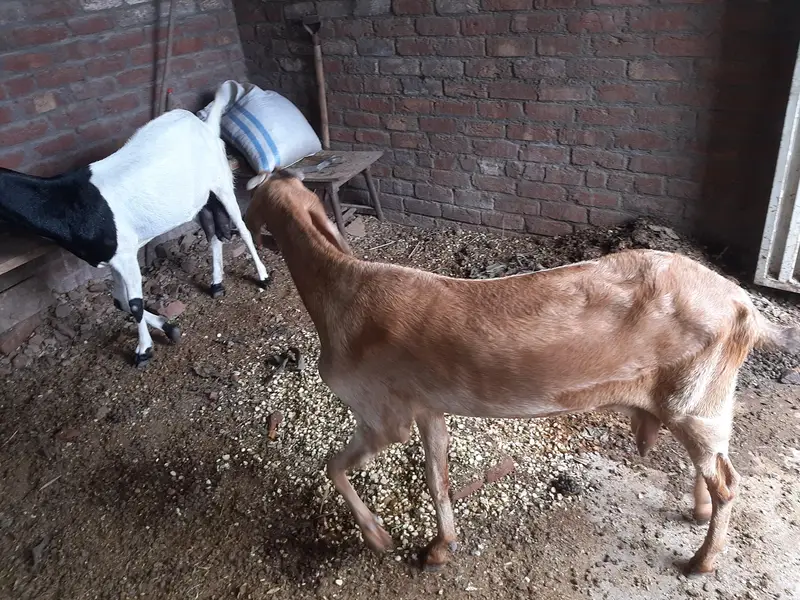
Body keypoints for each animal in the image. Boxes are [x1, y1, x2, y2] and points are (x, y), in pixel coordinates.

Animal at [0, 82, 269, 367]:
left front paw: (144, 350)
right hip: (198, 199)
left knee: (242, 229)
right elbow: (120, 302)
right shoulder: (113, 259)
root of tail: (205, 125)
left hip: (221, 181)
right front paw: (168, 327)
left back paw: (262, 276)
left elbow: (135, 304)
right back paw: (217, 283)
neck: (69, 201)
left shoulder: (126, 254)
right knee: (212, 231)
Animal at [243, 169, 800, 576]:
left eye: (250, 199)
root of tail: (743, 305)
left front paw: (378, 537)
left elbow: (332, 465)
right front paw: (439, 547)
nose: (241, 228)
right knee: (713, 469)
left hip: (696, 403)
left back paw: (702, 560)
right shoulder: (427, 409)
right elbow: (437, 477)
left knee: (728, 482)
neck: (340, 290)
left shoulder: (381, 414)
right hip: (699, 404)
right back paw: (699, 513)